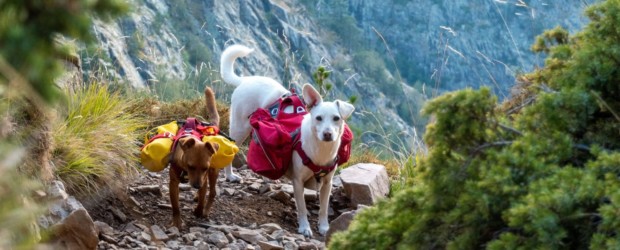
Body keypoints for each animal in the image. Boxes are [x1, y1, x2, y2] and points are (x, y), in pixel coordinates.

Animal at [167, 86, 220, 229]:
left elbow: (202, 199)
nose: (196, 185)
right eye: (190, 166)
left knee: (212, 193)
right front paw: (177, 221)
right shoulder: (173, 183)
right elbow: (175, 205)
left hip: (213, 173)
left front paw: (199, 210)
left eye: (205, 168)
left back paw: (205, 209)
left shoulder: (205, 178)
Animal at [219, 44, 354, 237]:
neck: (320, 150)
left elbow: (323, 208)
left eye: (336, 118)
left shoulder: (327, 183)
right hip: (239, 128)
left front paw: (324, 227)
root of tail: (245, 80)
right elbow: (302, 208)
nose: (328, 134)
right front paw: (304, 227)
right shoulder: (298, 182)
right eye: (318, 118)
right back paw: (230, 175)